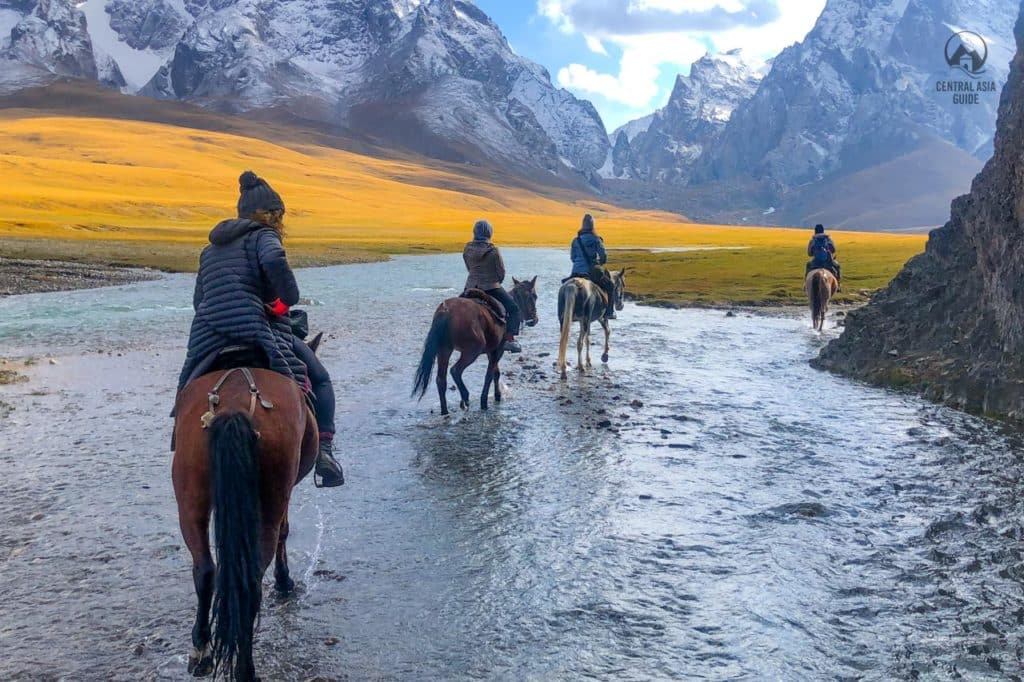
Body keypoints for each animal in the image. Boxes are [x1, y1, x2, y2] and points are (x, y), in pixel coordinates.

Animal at [171, 348, 319, 675]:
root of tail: (235, 404)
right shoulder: (284, 497)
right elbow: (285, 532)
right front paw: (283, 580)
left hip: (190, 498)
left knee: (205, 570)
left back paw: (201, 650)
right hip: (270, 499)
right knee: (250, 581)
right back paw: (244, 668)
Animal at [411, 276, 540, 413]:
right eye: (534, 296)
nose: (535, 320)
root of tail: (446, 311)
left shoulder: (491, 350)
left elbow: (495, 373)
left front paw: (497, 396)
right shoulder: (498, 349)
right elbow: (490, 374)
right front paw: (485, 401)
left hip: (444, 350)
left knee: (441, 380)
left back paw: (445, 411)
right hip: (472, 351)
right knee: (455, 370)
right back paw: (465, 397)